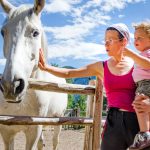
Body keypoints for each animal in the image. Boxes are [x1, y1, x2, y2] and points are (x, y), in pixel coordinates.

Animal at [0, 0, 67, 149]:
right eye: (2, 32)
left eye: (35, 33)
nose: (11, 86)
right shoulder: (7, 133)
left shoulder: (33, 132)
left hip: (57, 120)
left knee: (55, 141)